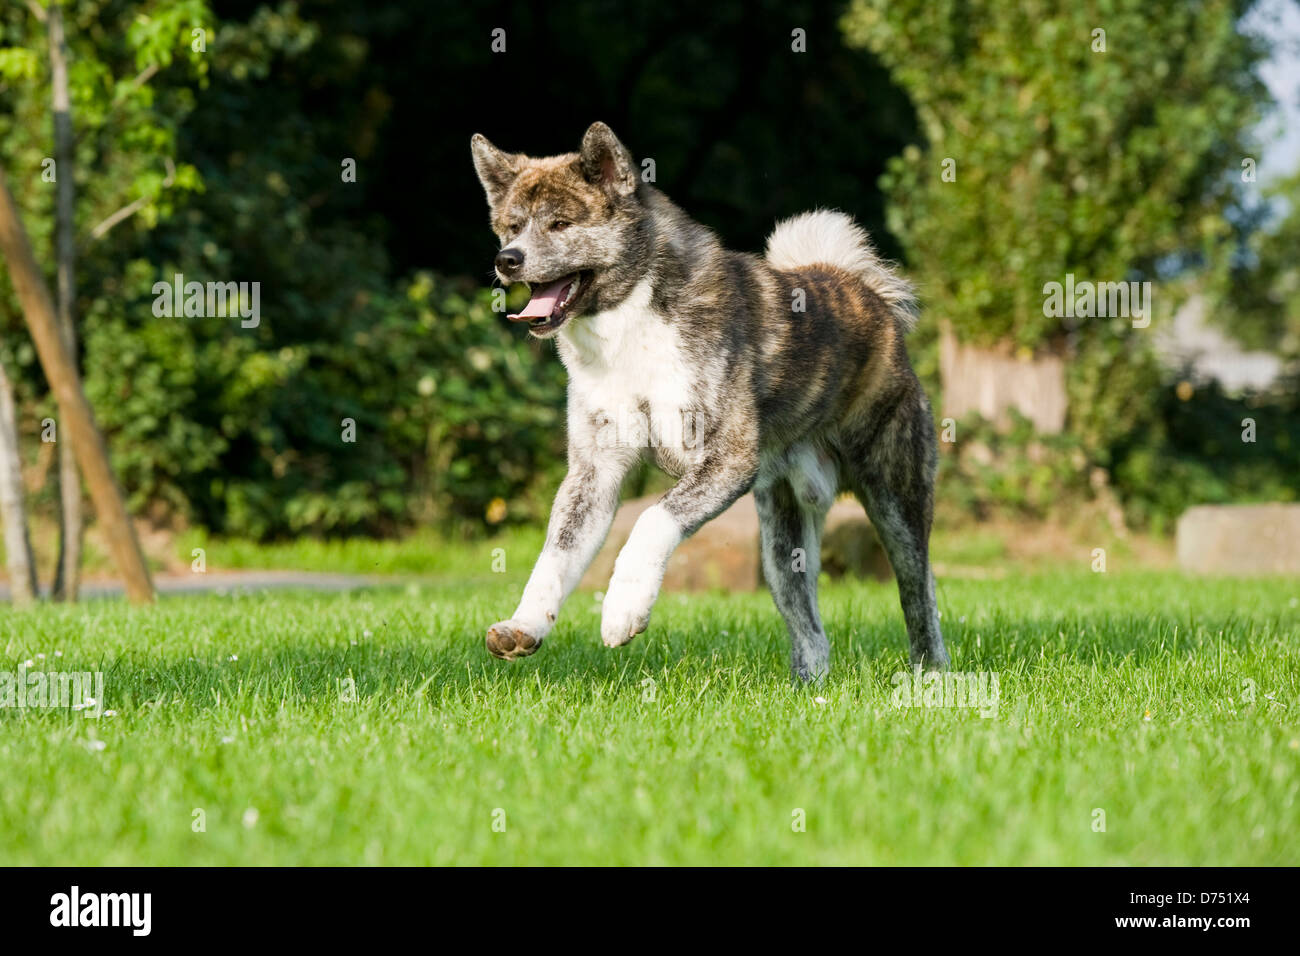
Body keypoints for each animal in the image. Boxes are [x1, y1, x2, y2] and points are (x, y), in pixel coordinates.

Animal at [473, 121, 951, 681]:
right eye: (510, 227)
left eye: (561, 223)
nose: (507, 260)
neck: (630, 327)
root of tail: (868, 295)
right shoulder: (594, 475)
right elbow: (555, 556)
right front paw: (524, 625)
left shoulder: (727, 459)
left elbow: (650, 520)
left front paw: (622, 611)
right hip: (780, 542)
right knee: (809, 628)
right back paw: (808, 687)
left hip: (896, 500)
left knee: (920, 592)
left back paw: (931, 675)